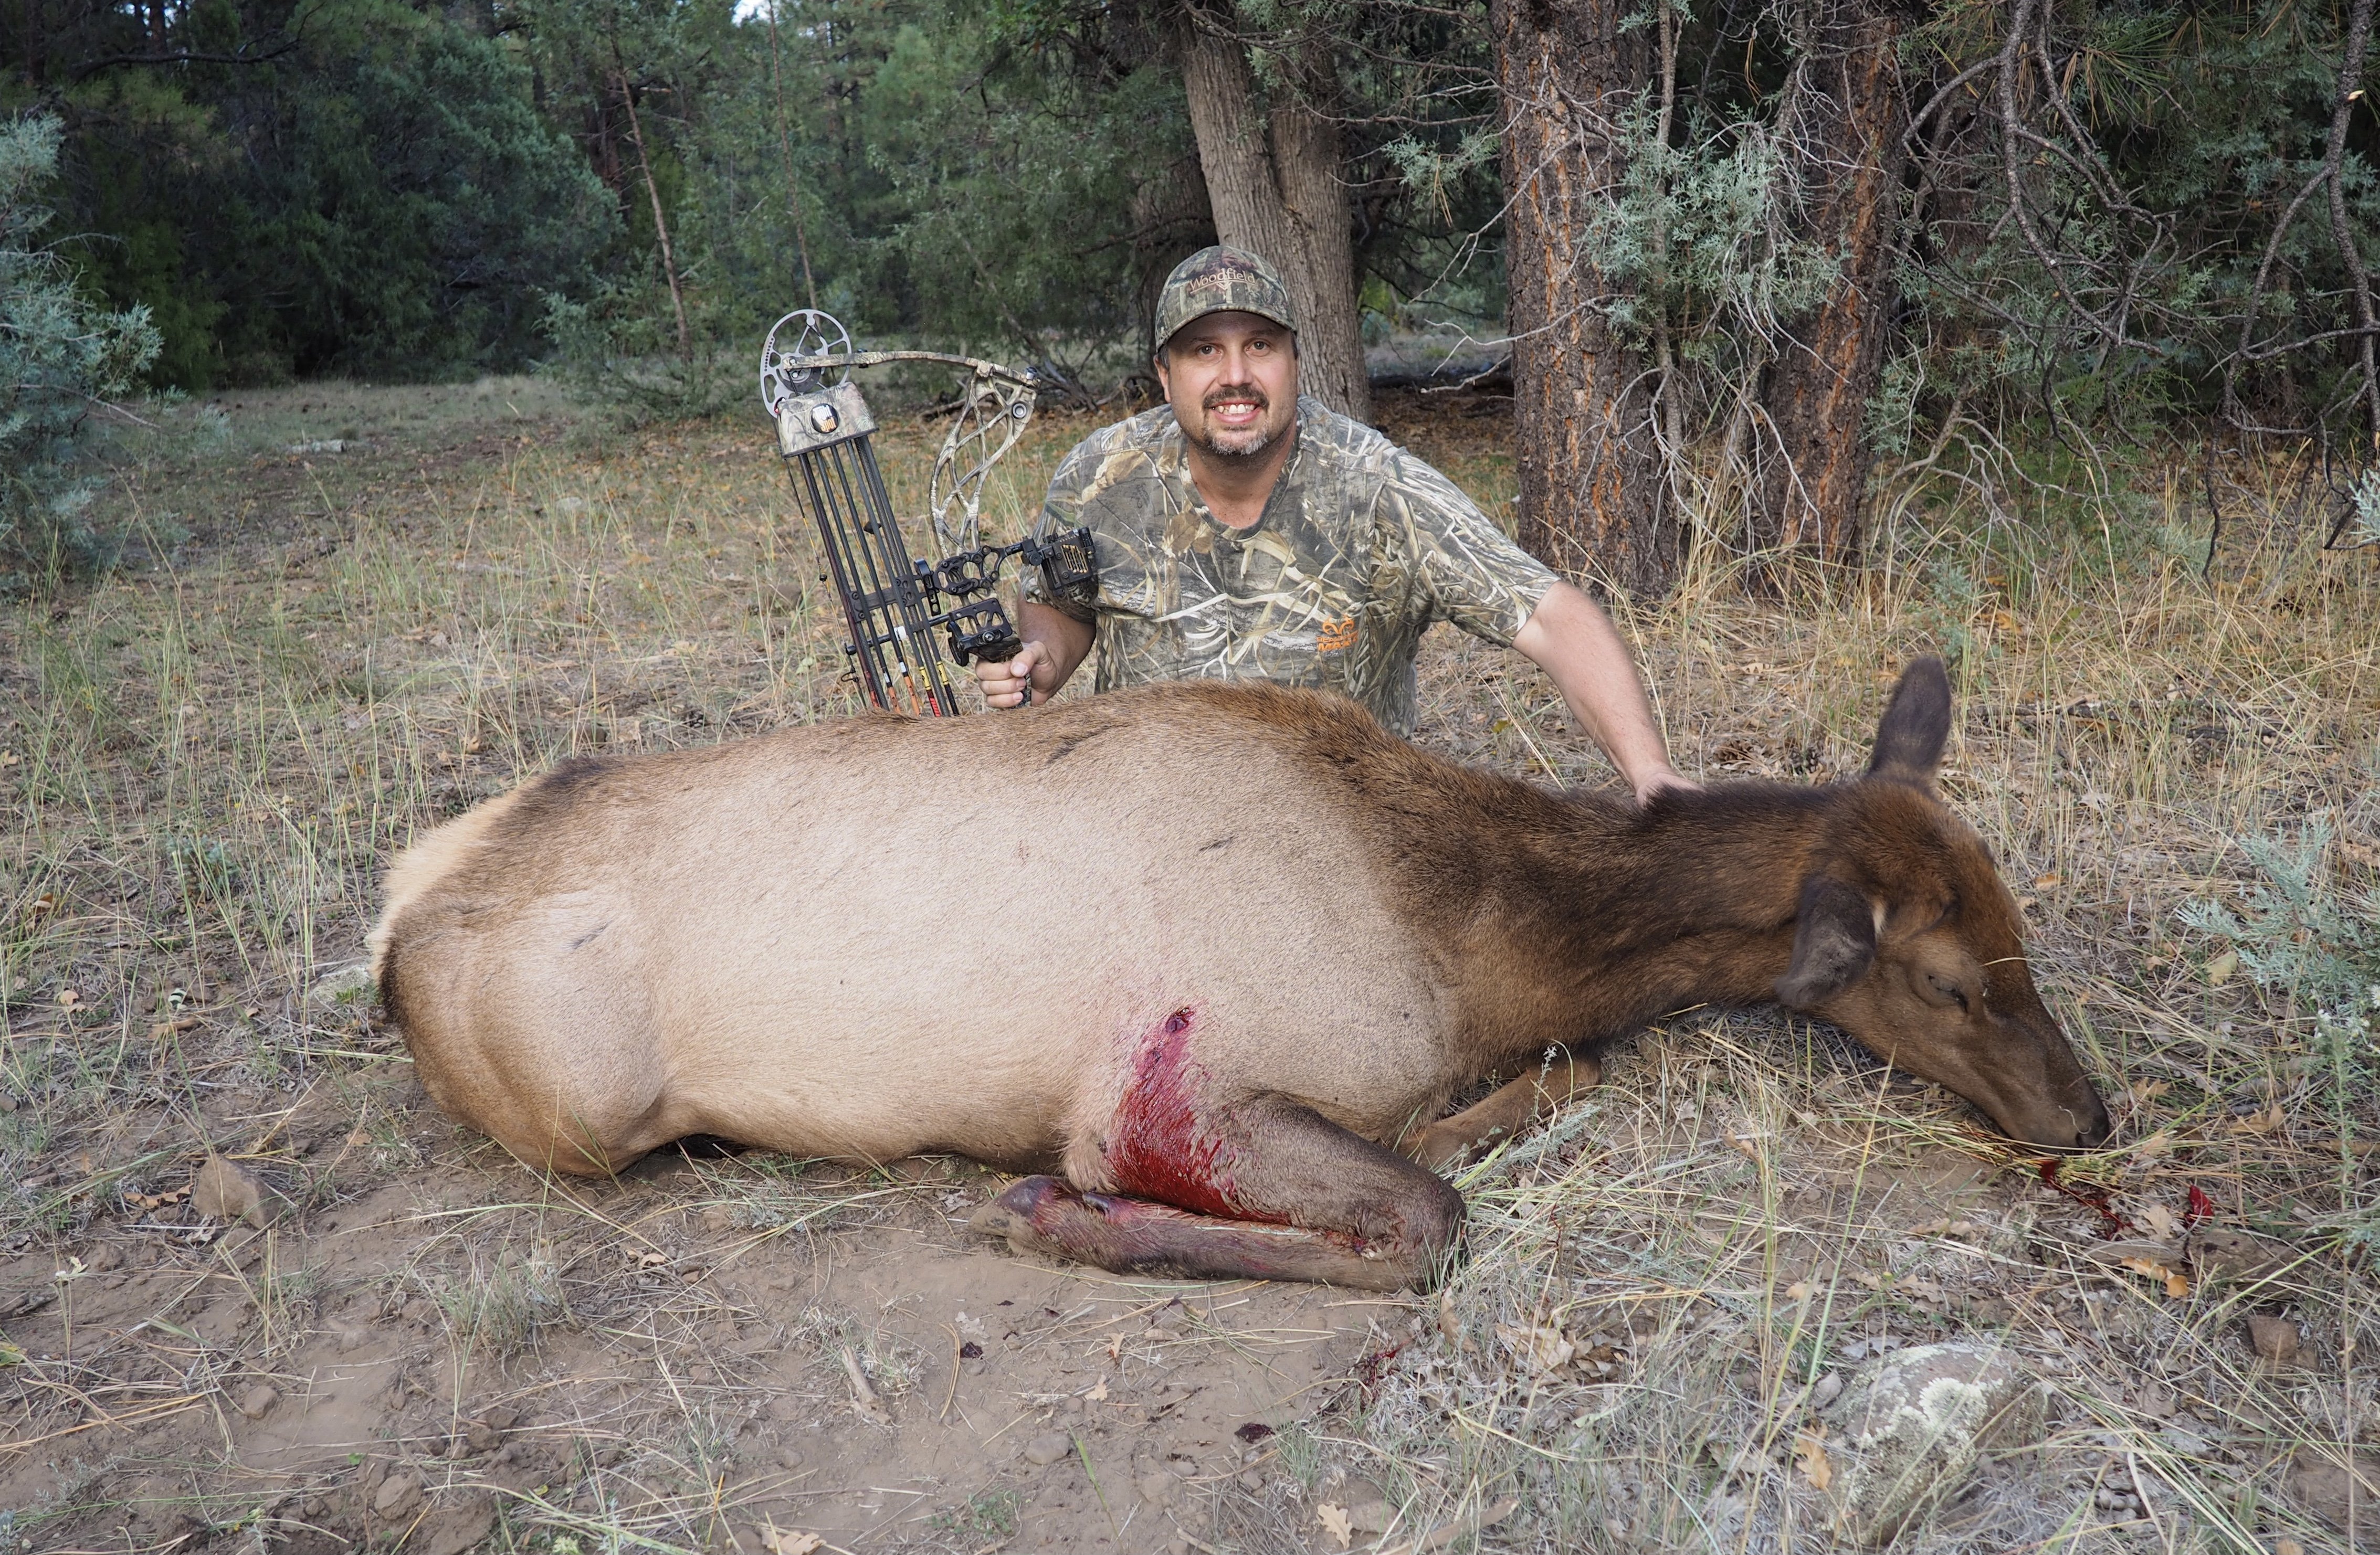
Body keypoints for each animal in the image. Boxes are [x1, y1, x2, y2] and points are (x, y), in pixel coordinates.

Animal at [369, 657, 2110, 1292]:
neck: (1470, 938)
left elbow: (1538, 1091)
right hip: (583, 1104)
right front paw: (1058, 1213)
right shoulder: (1170, 1083)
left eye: (2017, 926)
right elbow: (1421, 1216)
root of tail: (395, 917)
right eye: (1945, 980)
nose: (2086, 1116)